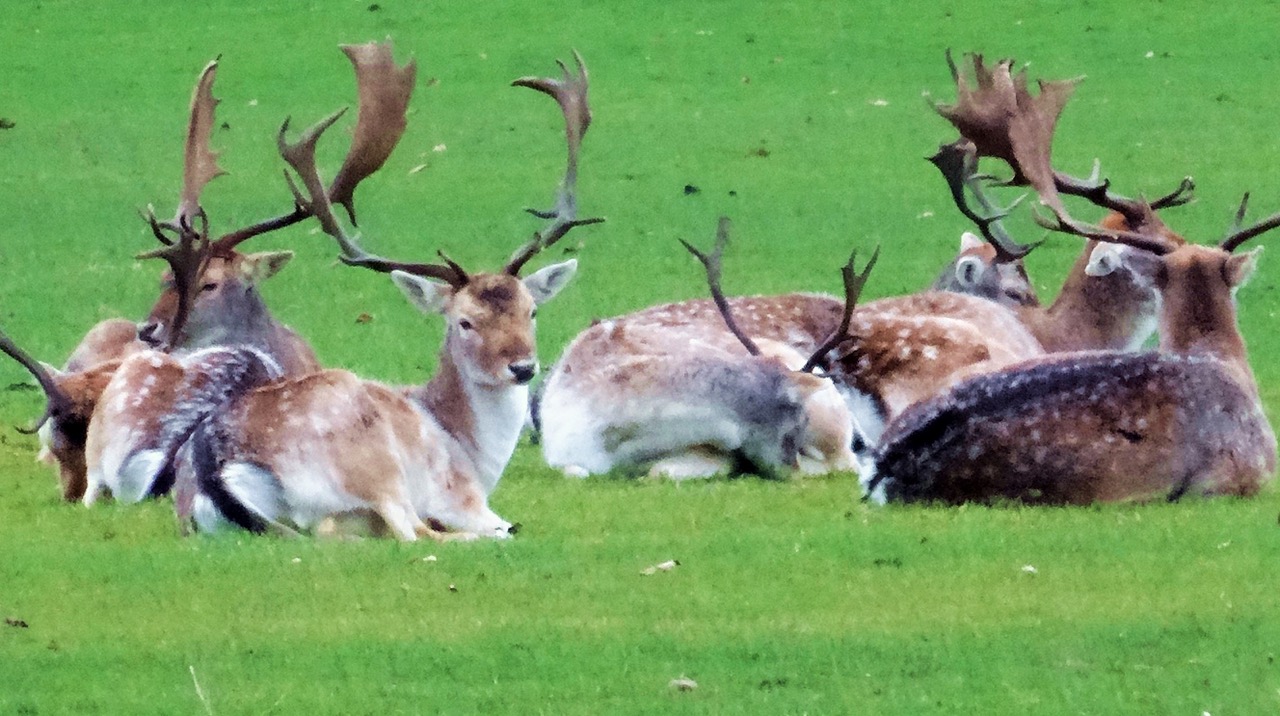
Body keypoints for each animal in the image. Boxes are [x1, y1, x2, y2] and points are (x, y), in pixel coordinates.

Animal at [179, 52, 600, 540]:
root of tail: (214, 469)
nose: (523, 367)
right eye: (464, 321)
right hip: (374, 462)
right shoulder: (460, 495)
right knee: (415, 531)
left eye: (531, 312)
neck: (471, 451)